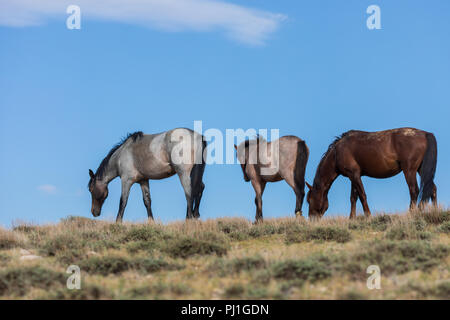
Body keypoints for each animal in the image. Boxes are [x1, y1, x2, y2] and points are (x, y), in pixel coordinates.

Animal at [306, 127, 436, 220]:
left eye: (309, 200)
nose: (311, 219)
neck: (336, 153)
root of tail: (425, 134)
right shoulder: (354, 176)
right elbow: (353, 197)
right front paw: (351, 218)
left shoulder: (354, 175)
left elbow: (362, 195)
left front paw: (368, 215)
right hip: (420, 169)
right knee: (432, 188)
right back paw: (434, 210)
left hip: (409, 170)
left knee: (414, 191)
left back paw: (412, 213)